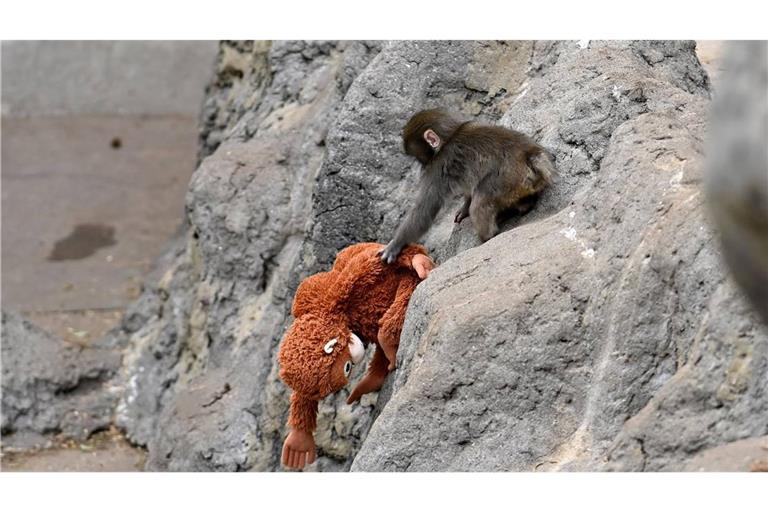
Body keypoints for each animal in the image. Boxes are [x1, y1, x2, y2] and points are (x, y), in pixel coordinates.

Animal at [380, 108, 556, 263]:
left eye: (417, 157)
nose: (421, 166)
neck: (450, 136)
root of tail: (530, 156)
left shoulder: (437, 166)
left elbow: (424, 210)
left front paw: (395, 244)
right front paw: (464, 209)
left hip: (506, 180)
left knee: (480, 202)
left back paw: (487, 236)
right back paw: (524, 205)